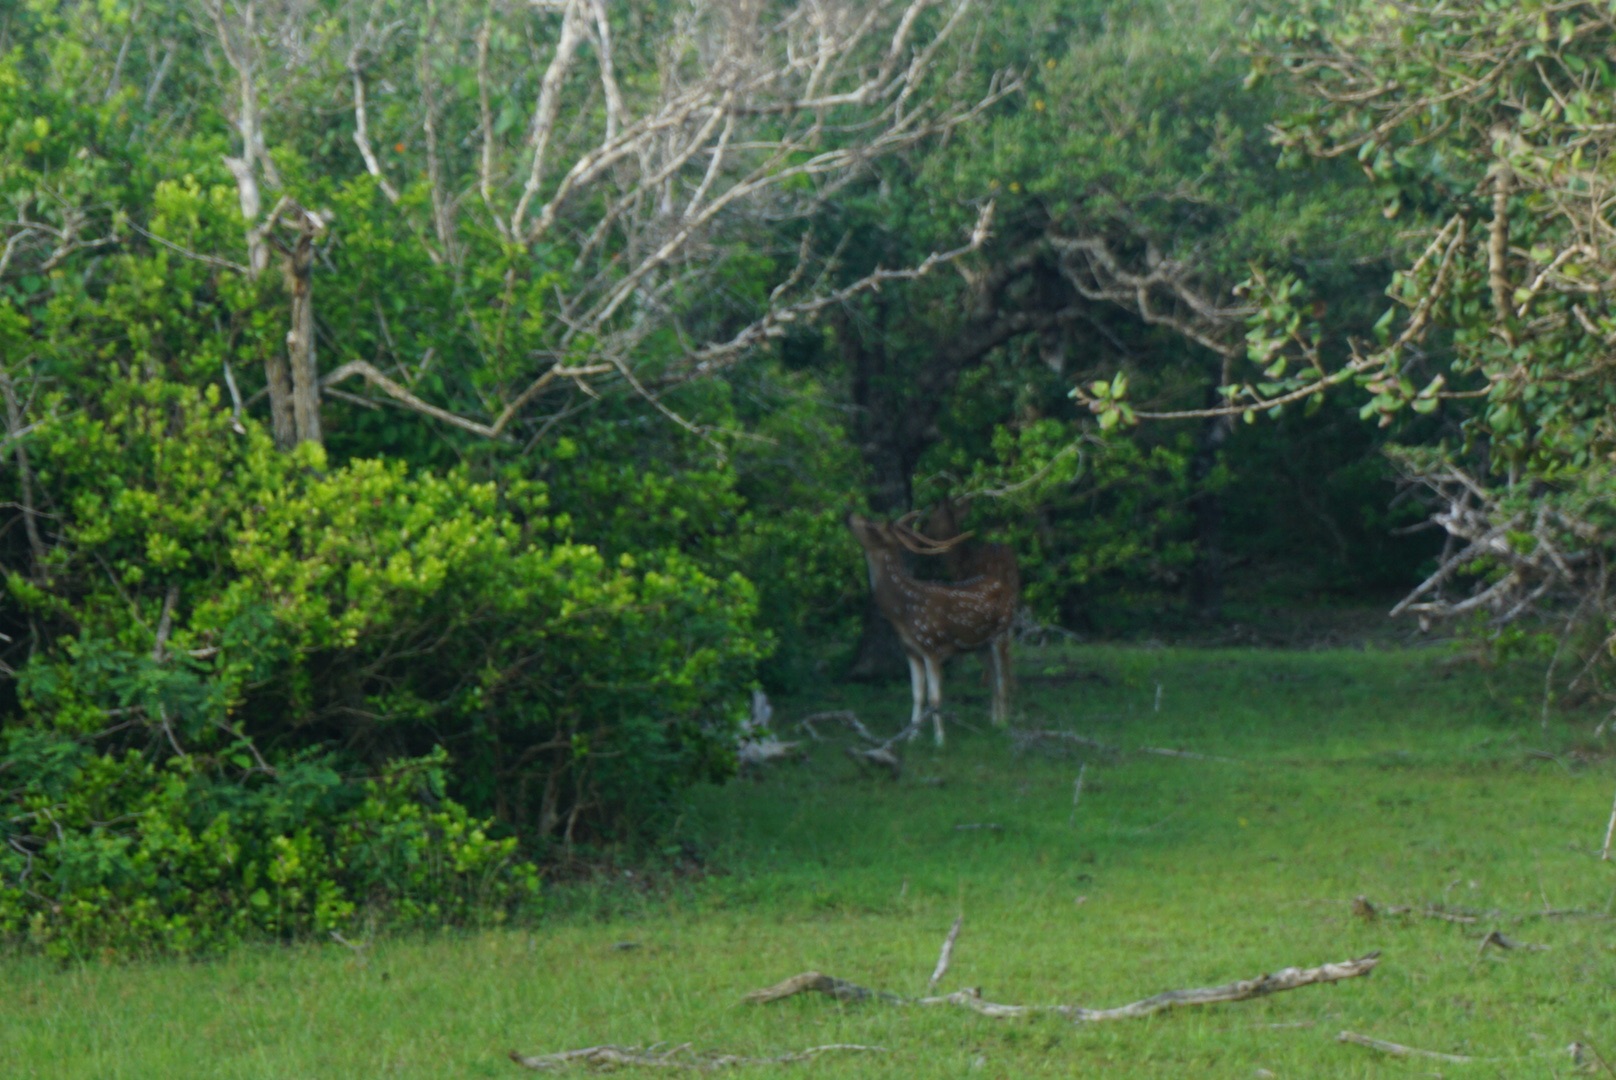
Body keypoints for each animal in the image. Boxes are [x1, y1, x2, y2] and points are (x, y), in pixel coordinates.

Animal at [853, 510, 1014, 746]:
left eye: (872, 526)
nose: (848, 514)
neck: (902, 611)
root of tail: (1004, 586)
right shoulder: (911, 651)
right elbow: (917, 695)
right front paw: (912, 736)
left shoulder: (932, 645)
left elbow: (935, 697)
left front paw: (939, 740)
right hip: (979, 645)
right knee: (993, 678)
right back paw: (994, 721)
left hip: (1002, 632)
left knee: (1003, 678)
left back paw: (1003, 724)